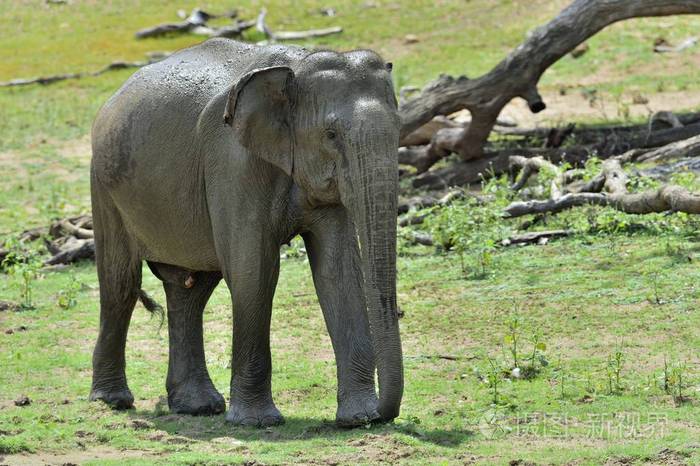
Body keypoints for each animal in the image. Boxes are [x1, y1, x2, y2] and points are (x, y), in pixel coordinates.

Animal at [88, 38, 404, 428]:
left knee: (189, 290)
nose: (383, 415)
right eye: (330, 135)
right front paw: (257, 422)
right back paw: (113, 400)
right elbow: (254, 270)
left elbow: (338, 270)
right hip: (105, 185)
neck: (297, 66)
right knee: (120, 285)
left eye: (400, 127)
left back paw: (196, 406)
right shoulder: (232, 162)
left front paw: (357, 418)